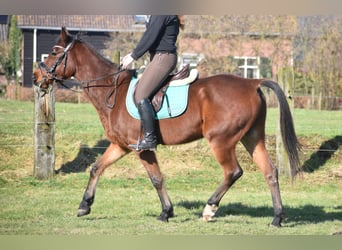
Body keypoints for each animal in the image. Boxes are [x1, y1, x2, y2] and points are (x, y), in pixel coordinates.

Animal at [32, 26, 300, 227]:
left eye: (54, 52)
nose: (36, 78)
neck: (111, 90)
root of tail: (251, 82)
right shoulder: (120, 145)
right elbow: (97, 168)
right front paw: (84, 205)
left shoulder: (142, 148)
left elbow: (156, 178)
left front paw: (166, 212)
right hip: (252, 138)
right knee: (270, 172)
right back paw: (277, 218)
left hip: (221, 141)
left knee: (233, 172)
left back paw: (209, 209)